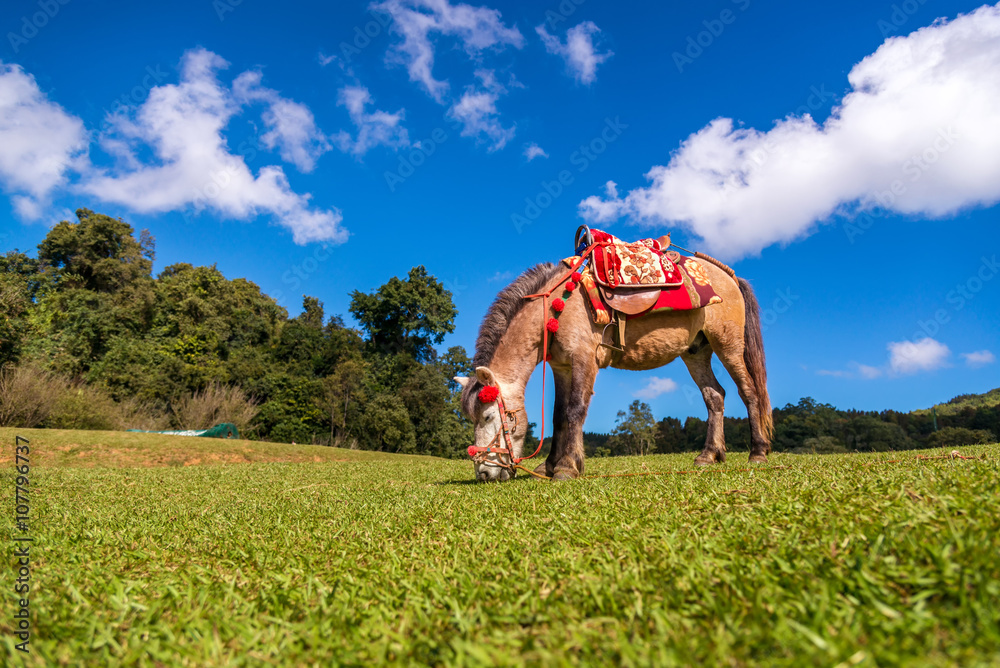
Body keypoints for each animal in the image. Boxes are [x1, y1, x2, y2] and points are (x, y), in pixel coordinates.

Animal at [456, 254, 772, 480]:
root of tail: (730, 276)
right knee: (714, 396)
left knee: (749, 392)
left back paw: (758, 452)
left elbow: (574, 411)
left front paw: (567, 467)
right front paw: (549, 466)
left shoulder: (584, 360)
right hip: (696, 352)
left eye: (487, 417)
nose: (483, 473)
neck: (556, 308)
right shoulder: (562, 368)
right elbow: (558, 416)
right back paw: (709, 455)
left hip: (728, 345)